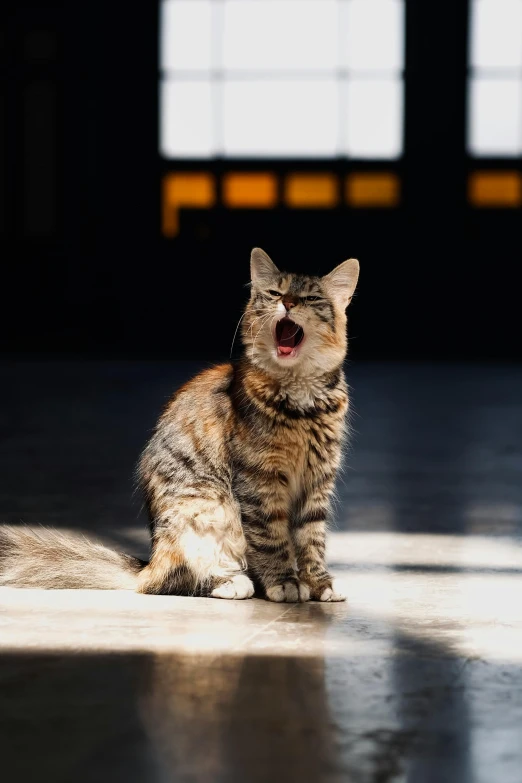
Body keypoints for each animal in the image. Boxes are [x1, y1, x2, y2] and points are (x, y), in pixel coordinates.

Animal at [0, 248, 358, 604]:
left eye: (310, 298)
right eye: (274, 293)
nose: (289, 303)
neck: (302, 400)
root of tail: (149, 559)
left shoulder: (318, 480)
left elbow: (311, 539)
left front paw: (318, 583)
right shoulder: (260, 480)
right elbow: (271, 537)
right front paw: (284, 582)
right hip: (205, 510)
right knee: (168, 581)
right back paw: (232, 582)